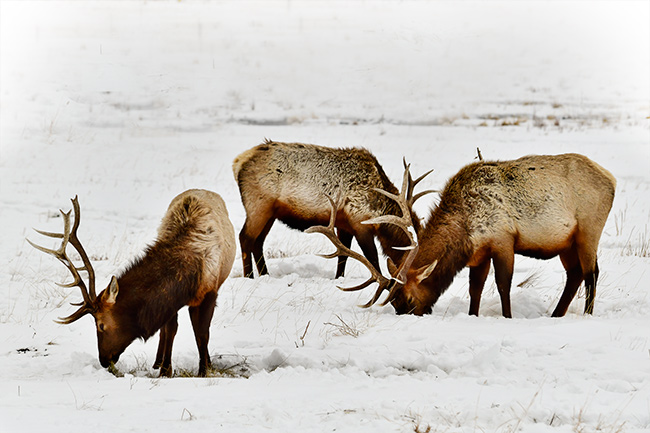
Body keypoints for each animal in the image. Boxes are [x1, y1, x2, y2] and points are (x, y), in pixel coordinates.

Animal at [28, 189, 235, 374]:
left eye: (100, 325)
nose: (104, 360)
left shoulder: (209, 292)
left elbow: (202, 333)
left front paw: (204, 370)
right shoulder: (170, 302)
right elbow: (170, 331)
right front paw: (165, 371)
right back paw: (157, 362)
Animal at [230, 140, 432, 278]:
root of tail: (238, 162)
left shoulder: (345, 225)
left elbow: (343, 257)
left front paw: (338, 278)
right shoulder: (359, 222)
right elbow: (372, 257)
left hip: (270, 213)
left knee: (258, 241)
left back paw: (265, 274)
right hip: (258, 206)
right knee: (245, 238)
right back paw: (250, 277)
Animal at [312, 154, 616, 316]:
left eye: (406, 300)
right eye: (395, 304)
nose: (412, 315)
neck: (465, 230)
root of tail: (611, 179)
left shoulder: (503, 240)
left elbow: (503, 284)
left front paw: (507, 317)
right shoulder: (478, 255)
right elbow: (475, 289)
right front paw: (473, 315)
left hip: (588, 230)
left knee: (591, 273)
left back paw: (586, 315)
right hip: (567, 242)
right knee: (575, 275)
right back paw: (556, 314)